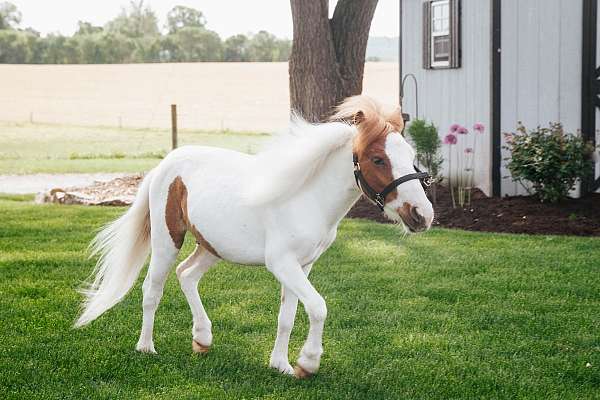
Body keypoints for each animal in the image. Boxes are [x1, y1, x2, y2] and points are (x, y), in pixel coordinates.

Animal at [75, 96, 434, 378]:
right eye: (378, 159)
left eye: (410, 155)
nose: (422, 215)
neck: (307, 197)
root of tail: (165, 164)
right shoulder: (282, 264)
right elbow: (318, 307)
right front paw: (307, 363)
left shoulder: (303, 266)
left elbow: (288, 316)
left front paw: (282, 365)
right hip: (167, 241)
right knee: (153, 289)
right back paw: (146, 347)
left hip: (211, 247)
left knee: (187, 275)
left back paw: (202, 338)